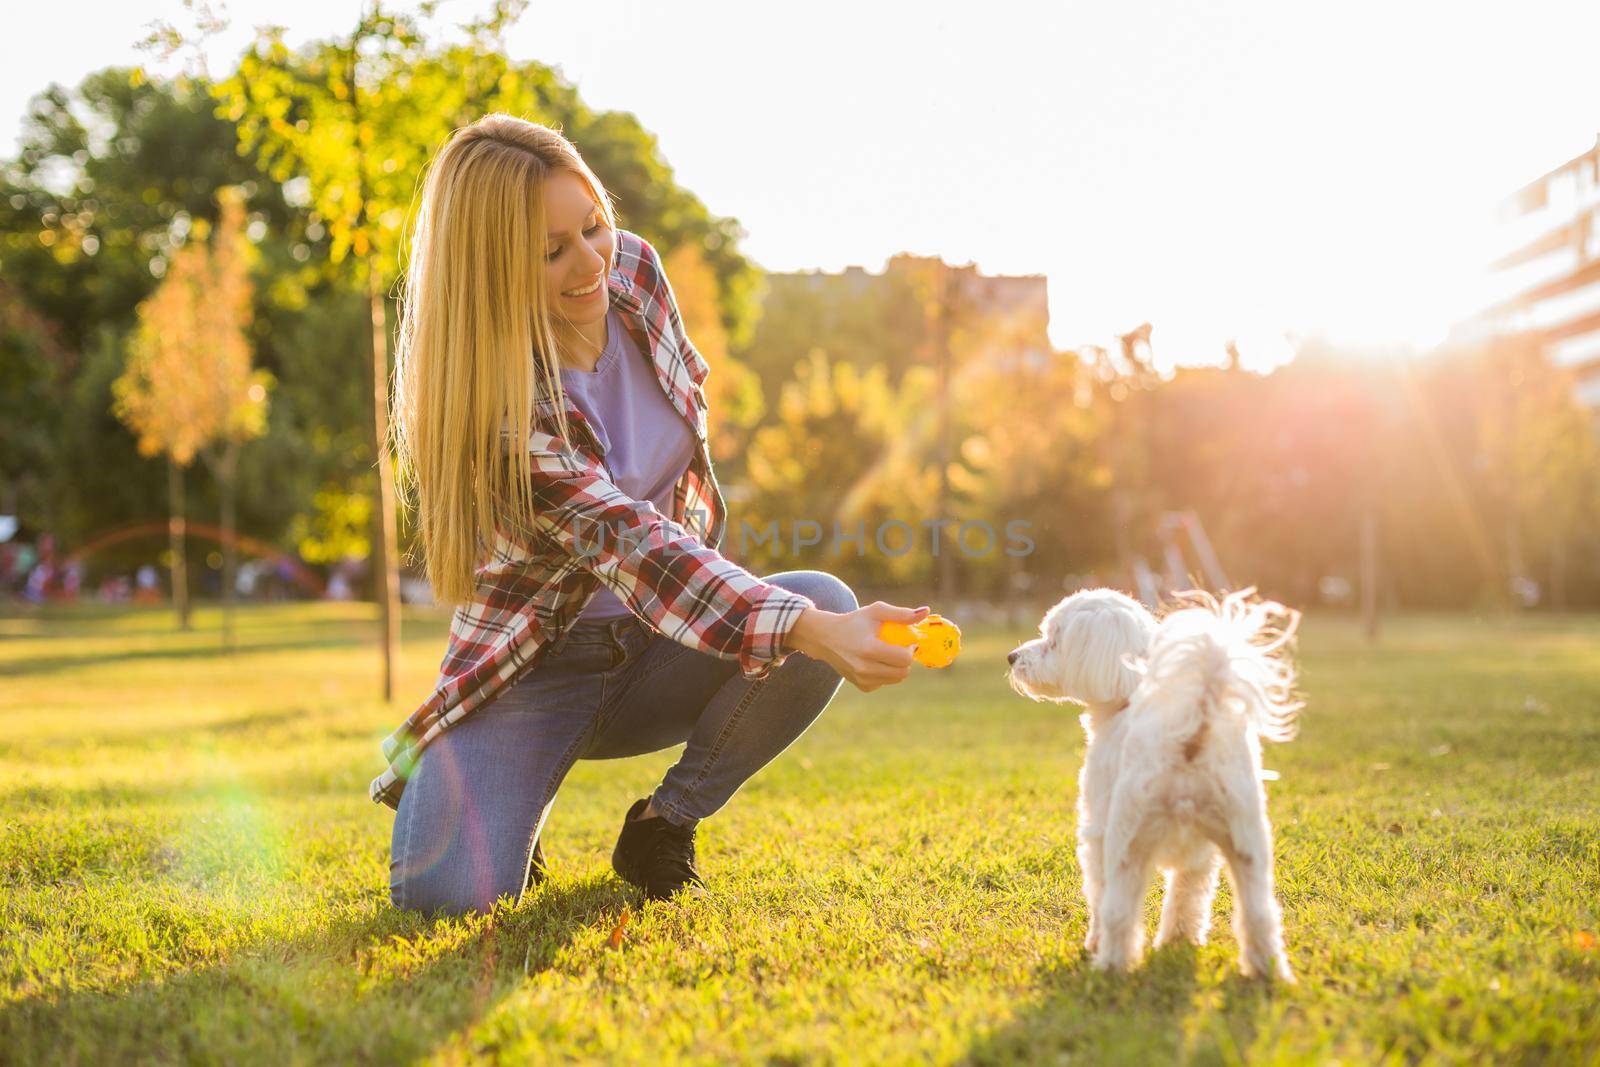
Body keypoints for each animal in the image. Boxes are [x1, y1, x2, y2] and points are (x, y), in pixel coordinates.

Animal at [1004, 588, 1305, 979]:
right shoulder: (1200, 855)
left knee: (1118, 911)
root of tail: (1192, 732)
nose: (1012, 657)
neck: (1128, 695)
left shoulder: (1097, 830)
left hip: (1128, 837)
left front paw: (1095, 941)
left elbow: (1098, 894)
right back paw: (1268, 971)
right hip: (1247, 840)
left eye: (1053, 640)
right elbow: (1187, 894)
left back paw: (1110, 967)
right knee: (1260, 914)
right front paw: (1179, 939)